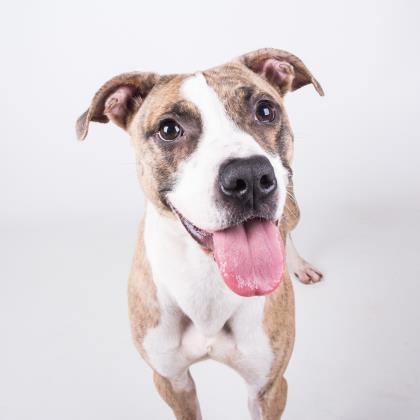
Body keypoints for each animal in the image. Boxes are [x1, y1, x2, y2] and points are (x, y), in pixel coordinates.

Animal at [76, 47, 324, 418]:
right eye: (168, 129)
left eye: (265, 110)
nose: (250, 176)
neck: (205, 273)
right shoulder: (171, 381)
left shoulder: (268, 388)